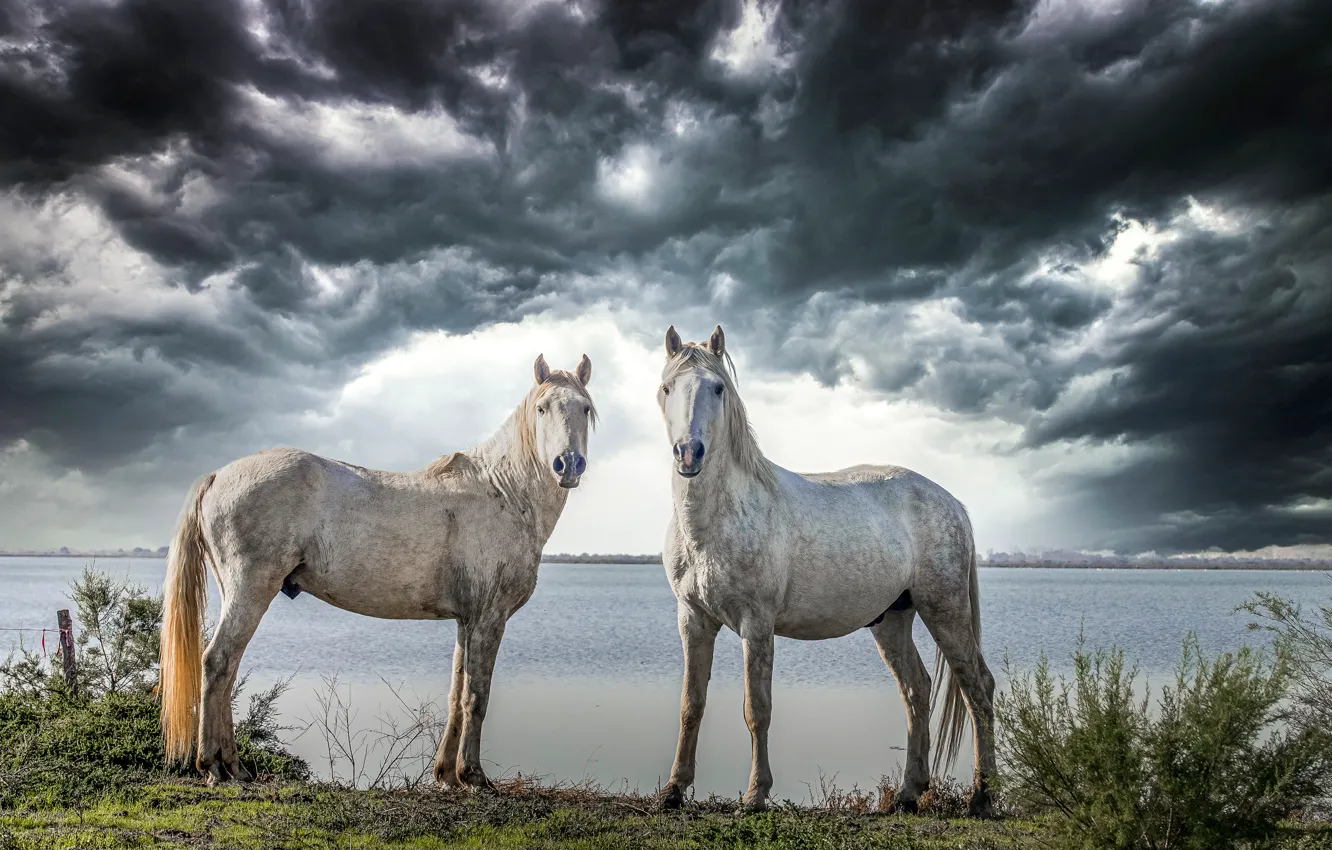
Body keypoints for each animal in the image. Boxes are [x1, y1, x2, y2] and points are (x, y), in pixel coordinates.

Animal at [159, 353, 597, 789]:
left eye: (585, 408)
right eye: (542, 409)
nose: (568, 464)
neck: (504, 492)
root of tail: (218, 475)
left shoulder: (467, 620)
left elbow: (457, 693)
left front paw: (447, 774)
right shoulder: (489, 618)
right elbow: (477, 696)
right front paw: (473, 775)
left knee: (227, 668)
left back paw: (234, 766)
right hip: (250, 590)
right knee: (217, 662)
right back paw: (215, 766)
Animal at [653, 325, 996, 817]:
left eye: (717, 388)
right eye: (667, 388)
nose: (689, 453)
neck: (715, 520)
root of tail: (951, 502)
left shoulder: (756, 625)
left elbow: (757, 709)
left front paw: (755, 794)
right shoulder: (693, 620)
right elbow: (691, 705)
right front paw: (674, 790)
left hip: (945, 611)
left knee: (977, 689)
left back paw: (982, 797)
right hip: (892, 620)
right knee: (917, 690)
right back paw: (908, 795)